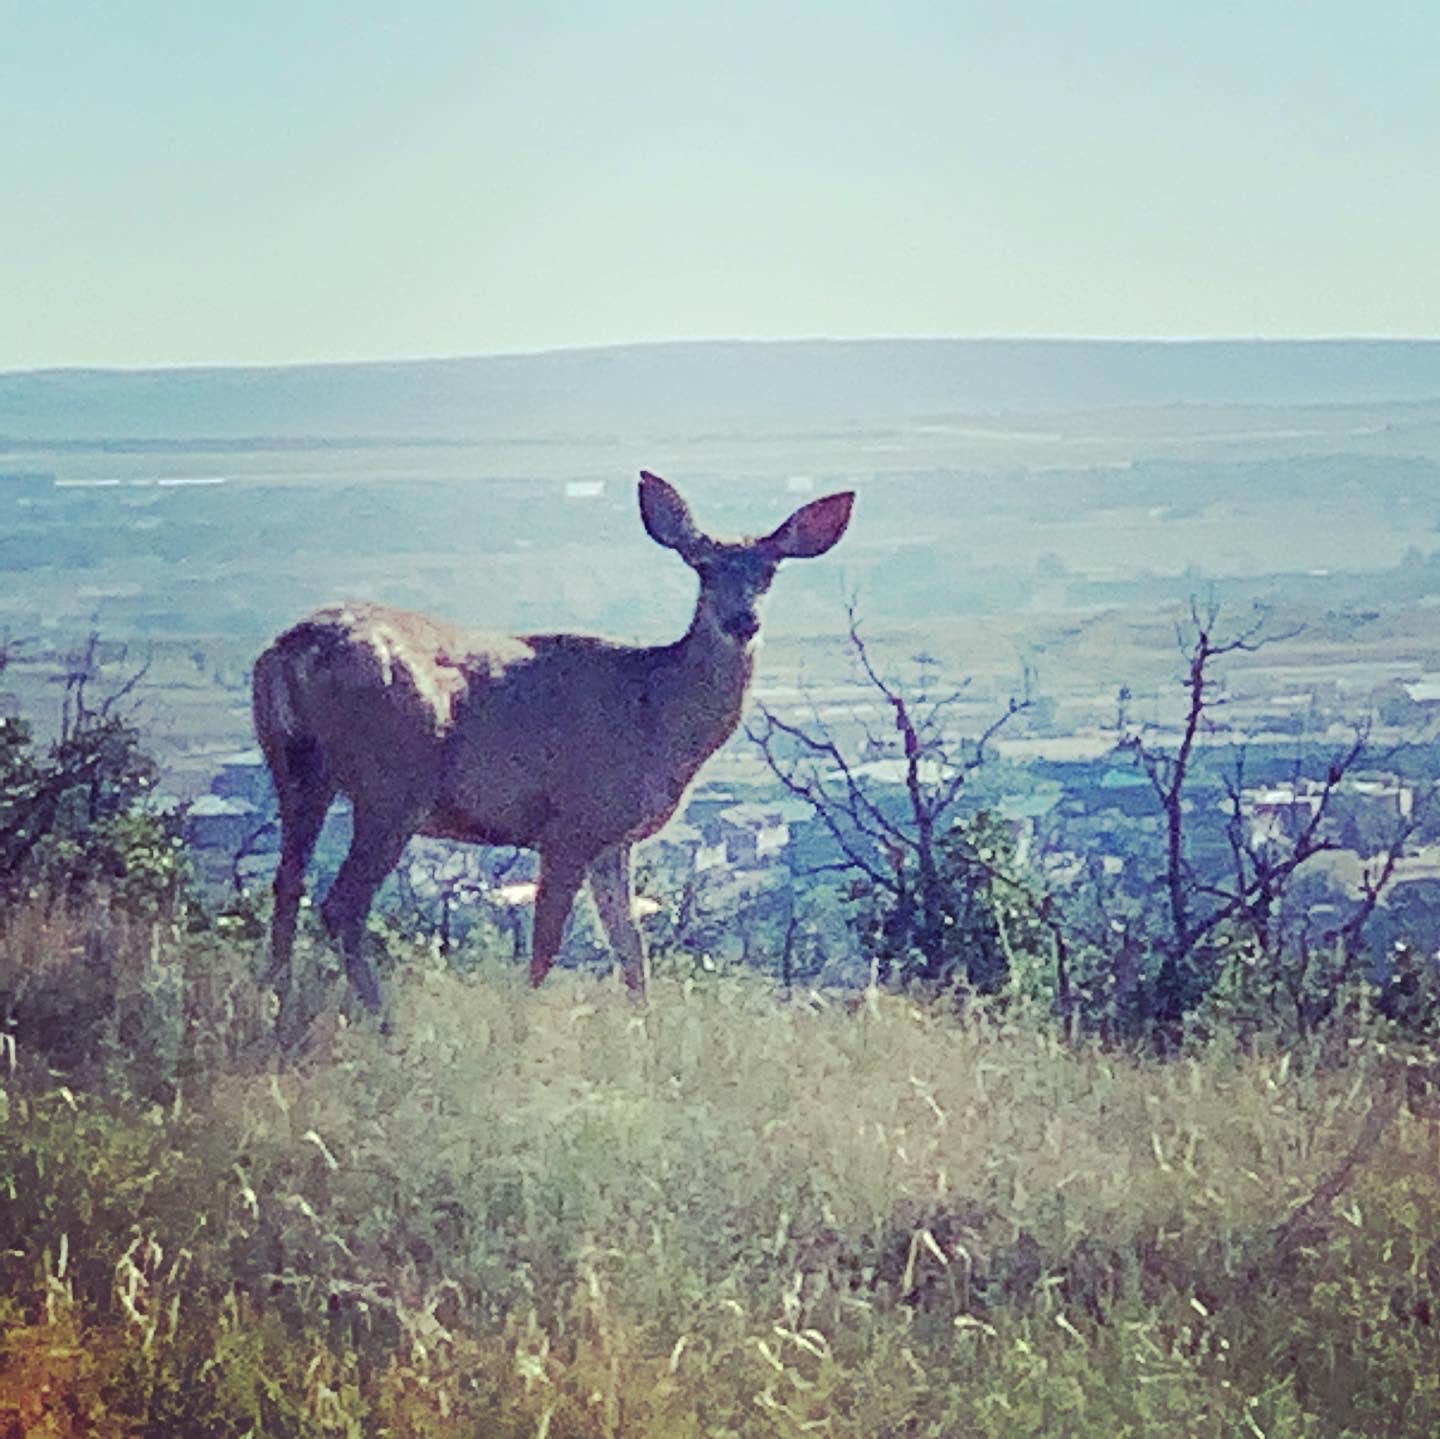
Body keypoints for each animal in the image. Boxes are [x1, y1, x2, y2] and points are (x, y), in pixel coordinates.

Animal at [252, 469, 846, 1014]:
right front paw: (523, 1025)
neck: (656, 714)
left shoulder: (613, 838)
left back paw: (276, 1004)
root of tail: (290, 650)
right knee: (341, 904)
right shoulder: (569, 824)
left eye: (768, 571)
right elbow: (547, 946)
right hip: (392, 782)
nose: (742, 621)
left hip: (297, 770)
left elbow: (631, 951)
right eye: (701, 566)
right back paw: (381, 1021)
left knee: (288, 886)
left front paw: (643, 1030)